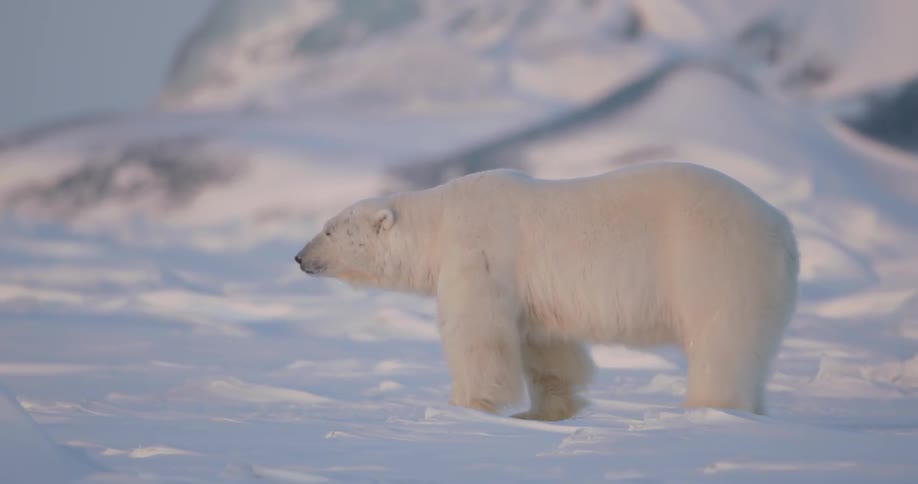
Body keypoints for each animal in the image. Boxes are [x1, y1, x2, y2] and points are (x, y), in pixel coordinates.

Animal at [294, 162, 799, 420]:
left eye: (330, 229)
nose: (299, 257)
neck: (438, 222)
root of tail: (783, 229)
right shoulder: (532, 292)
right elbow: (546, 345)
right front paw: (547, 411)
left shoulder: (480, 249)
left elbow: (478, 332)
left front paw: (465, 405)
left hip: (712, 260)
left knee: (720, 340)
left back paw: (707, 407)